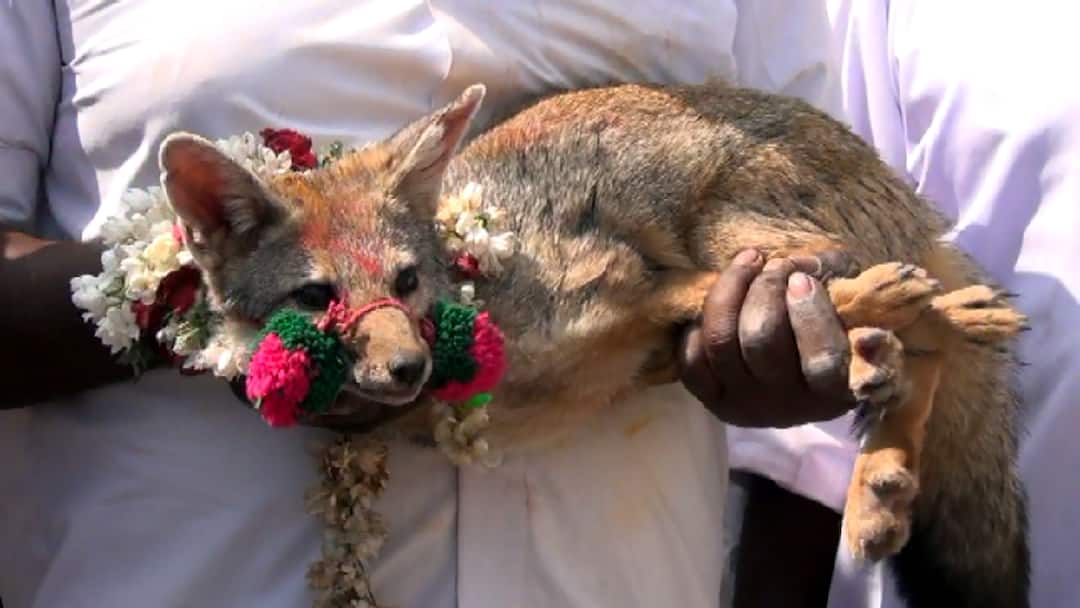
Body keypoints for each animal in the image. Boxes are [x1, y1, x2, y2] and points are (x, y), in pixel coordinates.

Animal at [159, 81, 1030, 607]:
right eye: (316, 299)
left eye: (406, 281)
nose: (408, 365)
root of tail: (904, 190)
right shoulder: (645, 333)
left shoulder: (640, 283)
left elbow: (802, 294)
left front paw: (930, 306)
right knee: (905, 350)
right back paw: (882, 466)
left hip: (735, 230)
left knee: (867, 290)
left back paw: (946, 315)